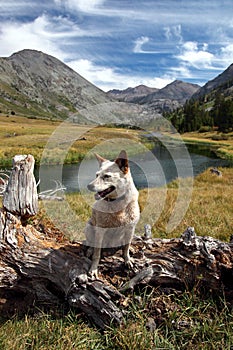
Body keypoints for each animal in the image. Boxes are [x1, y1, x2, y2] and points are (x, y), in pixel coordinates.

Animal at [85, 150, 140, 278]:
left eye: (107, 176)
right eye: (96, 175)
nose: (89, 186)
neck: (117, 203)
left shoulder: (130, 228)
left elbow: (126, 248)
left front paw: (127, 260)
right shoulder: (100, 230)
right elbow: (97, 254)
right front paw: (94, 268)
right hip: (89, 226)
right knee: (91, 244)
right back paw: (90, 250)